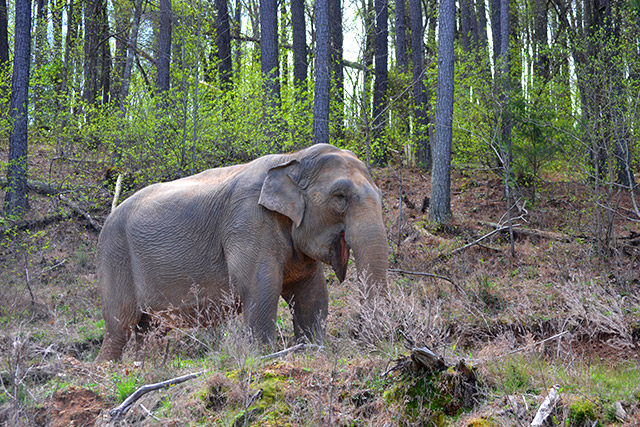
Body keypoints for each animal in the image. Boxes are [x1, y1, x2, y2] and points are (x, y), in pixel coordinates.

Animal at [93, 143, 388, 362]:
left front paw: (314, 349)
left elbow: (311, 293)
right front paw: (262, 356)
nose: (361, 334)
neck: (293, 158)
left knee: (149, 328)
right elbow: (260, 286)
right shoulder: (249, 223)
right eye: (340, 197)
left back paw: (141, 367)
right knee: (120, 326)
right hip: (115, 257)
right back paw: (108, 371)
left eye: (380, 194)